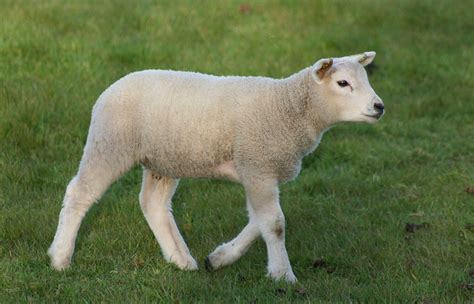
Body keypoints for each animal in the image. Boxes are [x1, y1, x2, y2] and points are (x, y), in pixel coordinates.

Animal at [47, 51, 386, 282]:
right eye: (342, 83)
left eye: (365, 79)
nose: (379, 106)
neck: (288, 107)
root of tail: (111, 88)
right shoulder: (258, 166)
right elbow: (274, 223)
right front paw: (283, 275)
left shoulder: (257, 170)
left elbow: (259, 220)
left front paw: (220, 258)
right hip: (110, 144)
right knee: (79, 193)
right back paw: (60, 257)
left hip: (163, 159)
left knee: (152, 204)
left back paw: (181, 260)